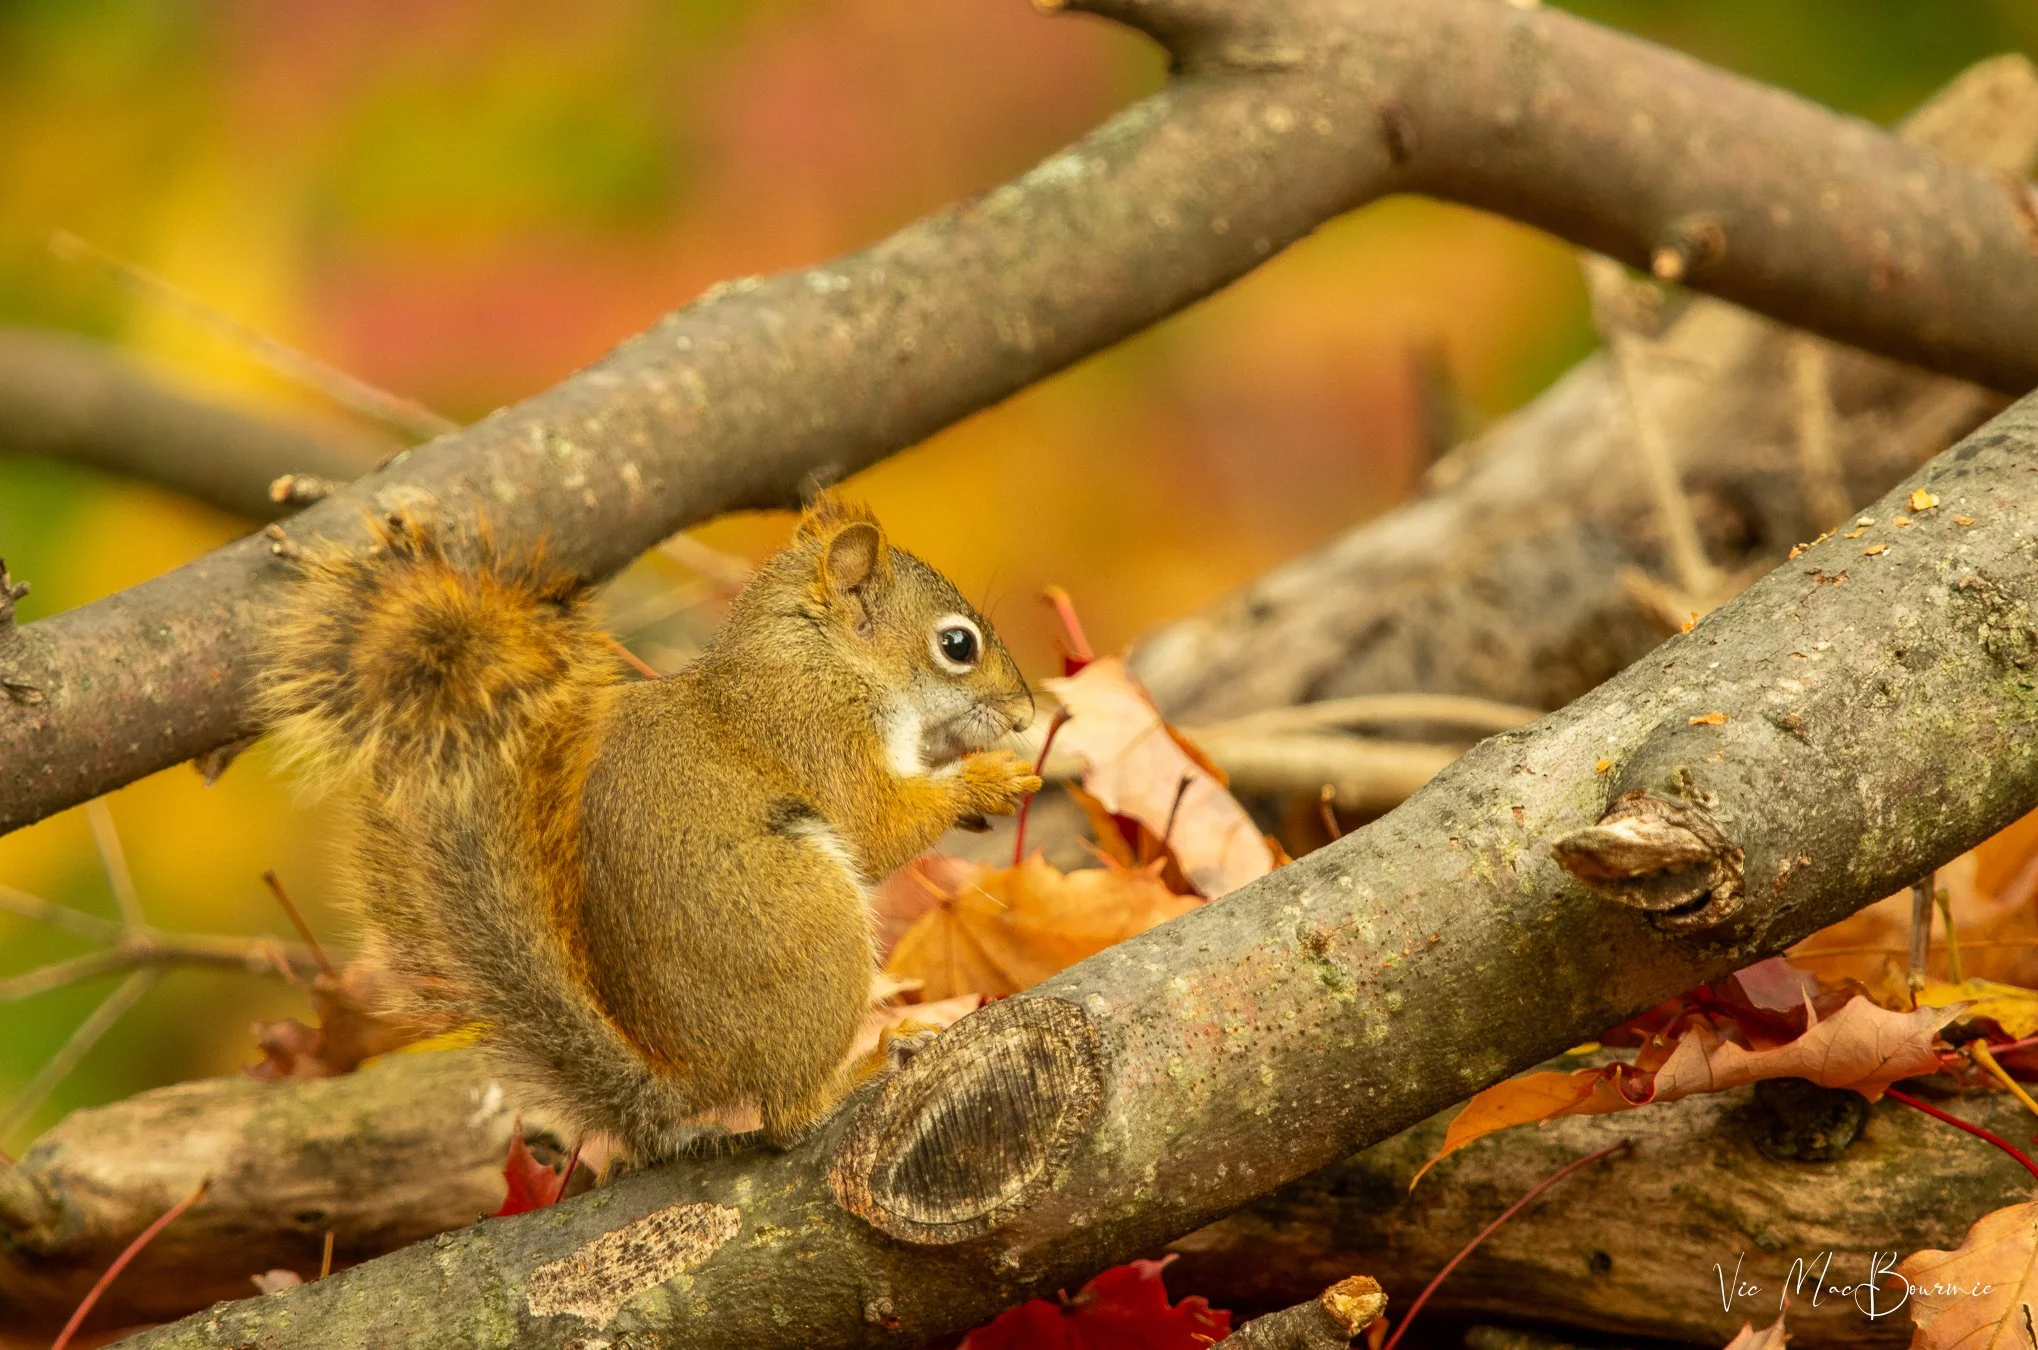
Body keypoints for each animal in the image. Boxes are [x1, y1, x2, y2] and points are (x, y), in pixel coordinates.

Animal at [256, 497, 1040, 1159]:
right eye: (958, 645)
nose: (1026, 716)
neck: (823, 657)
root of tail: (686, 1079)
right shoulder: (817, 735)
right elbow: (876, 826)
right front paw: (987, 780)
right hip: (809, 922)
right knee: (787, 1120)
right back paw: (875, 1060)